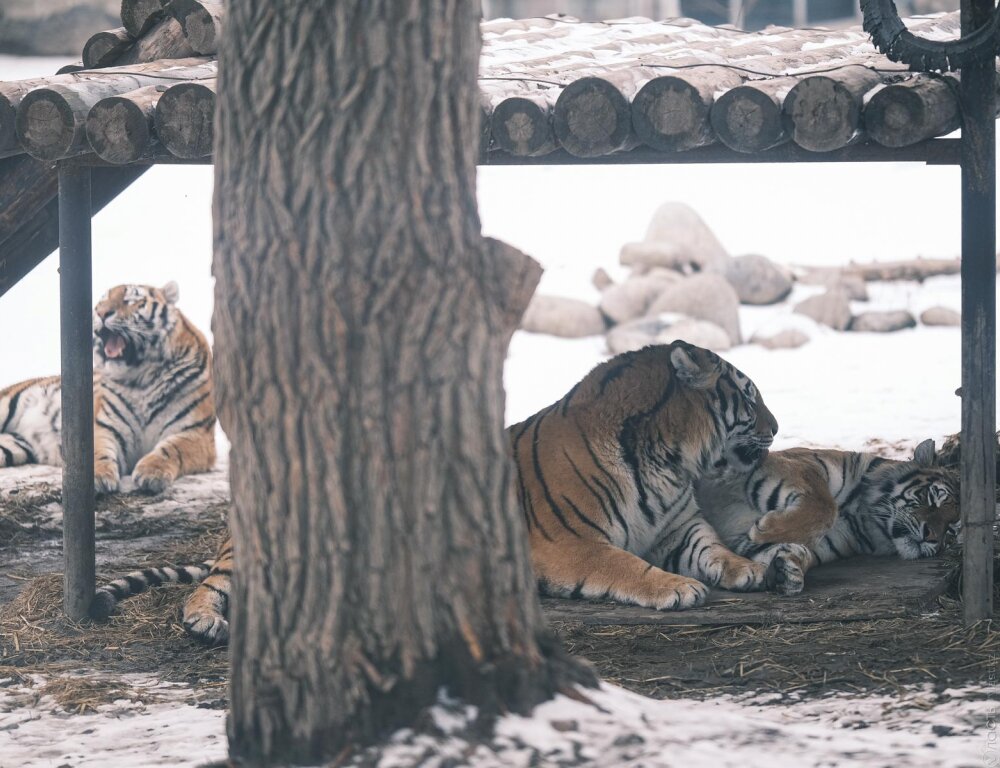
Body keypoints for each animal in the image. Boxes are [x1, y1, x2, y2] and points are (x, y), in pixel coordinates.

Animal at [0, 280, 215, 492]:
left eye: (131, 300)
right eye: (99, 303)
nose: (101, 313)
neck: (142, 378)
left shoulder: (196, 433)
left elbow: (171, 449)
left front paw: (153, 472)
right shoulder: (106, 425)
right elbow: (98, 451)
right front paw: (96, 478)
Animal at [90, 342, 784, 640]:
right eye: (750, 397)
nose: (777, 427)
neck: (669, 460)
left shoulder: (680, 525)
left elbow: (714, 547)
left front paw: (748, 569)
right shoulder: (570, 544)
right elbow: (624, 565)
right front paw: (676, 589)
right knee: (206, 589)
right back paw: (205, 622)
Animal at [696, 438, 960, 592]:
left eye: (950, 530)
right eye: (932, 499)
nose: (931, 536)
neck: (865, 518)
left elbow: (794, 550)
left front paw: (788, 571)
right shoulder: (797, 466)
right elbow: (824, 504)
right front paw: (765, 529)